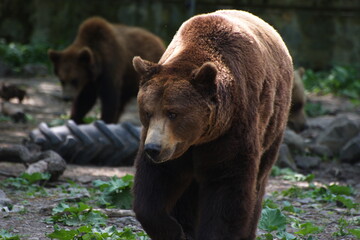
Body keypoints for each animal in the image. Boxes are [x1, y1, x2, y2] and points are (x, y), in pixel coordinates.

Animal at [131, 9, 292, 240]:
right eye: (147, 112)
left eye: (173, 113)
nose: (153, 148)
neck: (198, 138)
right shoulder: (168, 146)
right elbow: (154, 183)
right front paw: (174, 230)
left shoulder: (231, 131)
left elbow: (227, 187)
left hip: (273, 125)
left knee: (258, 181)